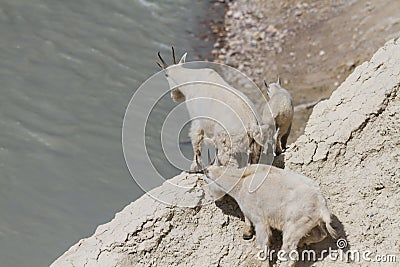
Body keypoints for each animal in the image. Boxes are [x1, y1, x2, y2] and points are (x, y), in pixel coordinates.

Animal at [202, 164, 336, 266]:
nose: (214, 199)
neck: (241, 182)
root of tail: (321, 206)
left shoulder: (260, 220)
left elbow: (263, 243)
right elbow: (247, 218)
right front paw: (246, 233)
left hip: (294, 226)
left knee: (290, 253)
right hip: (309, 223)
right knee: (321, 234)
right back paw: (304, 241)